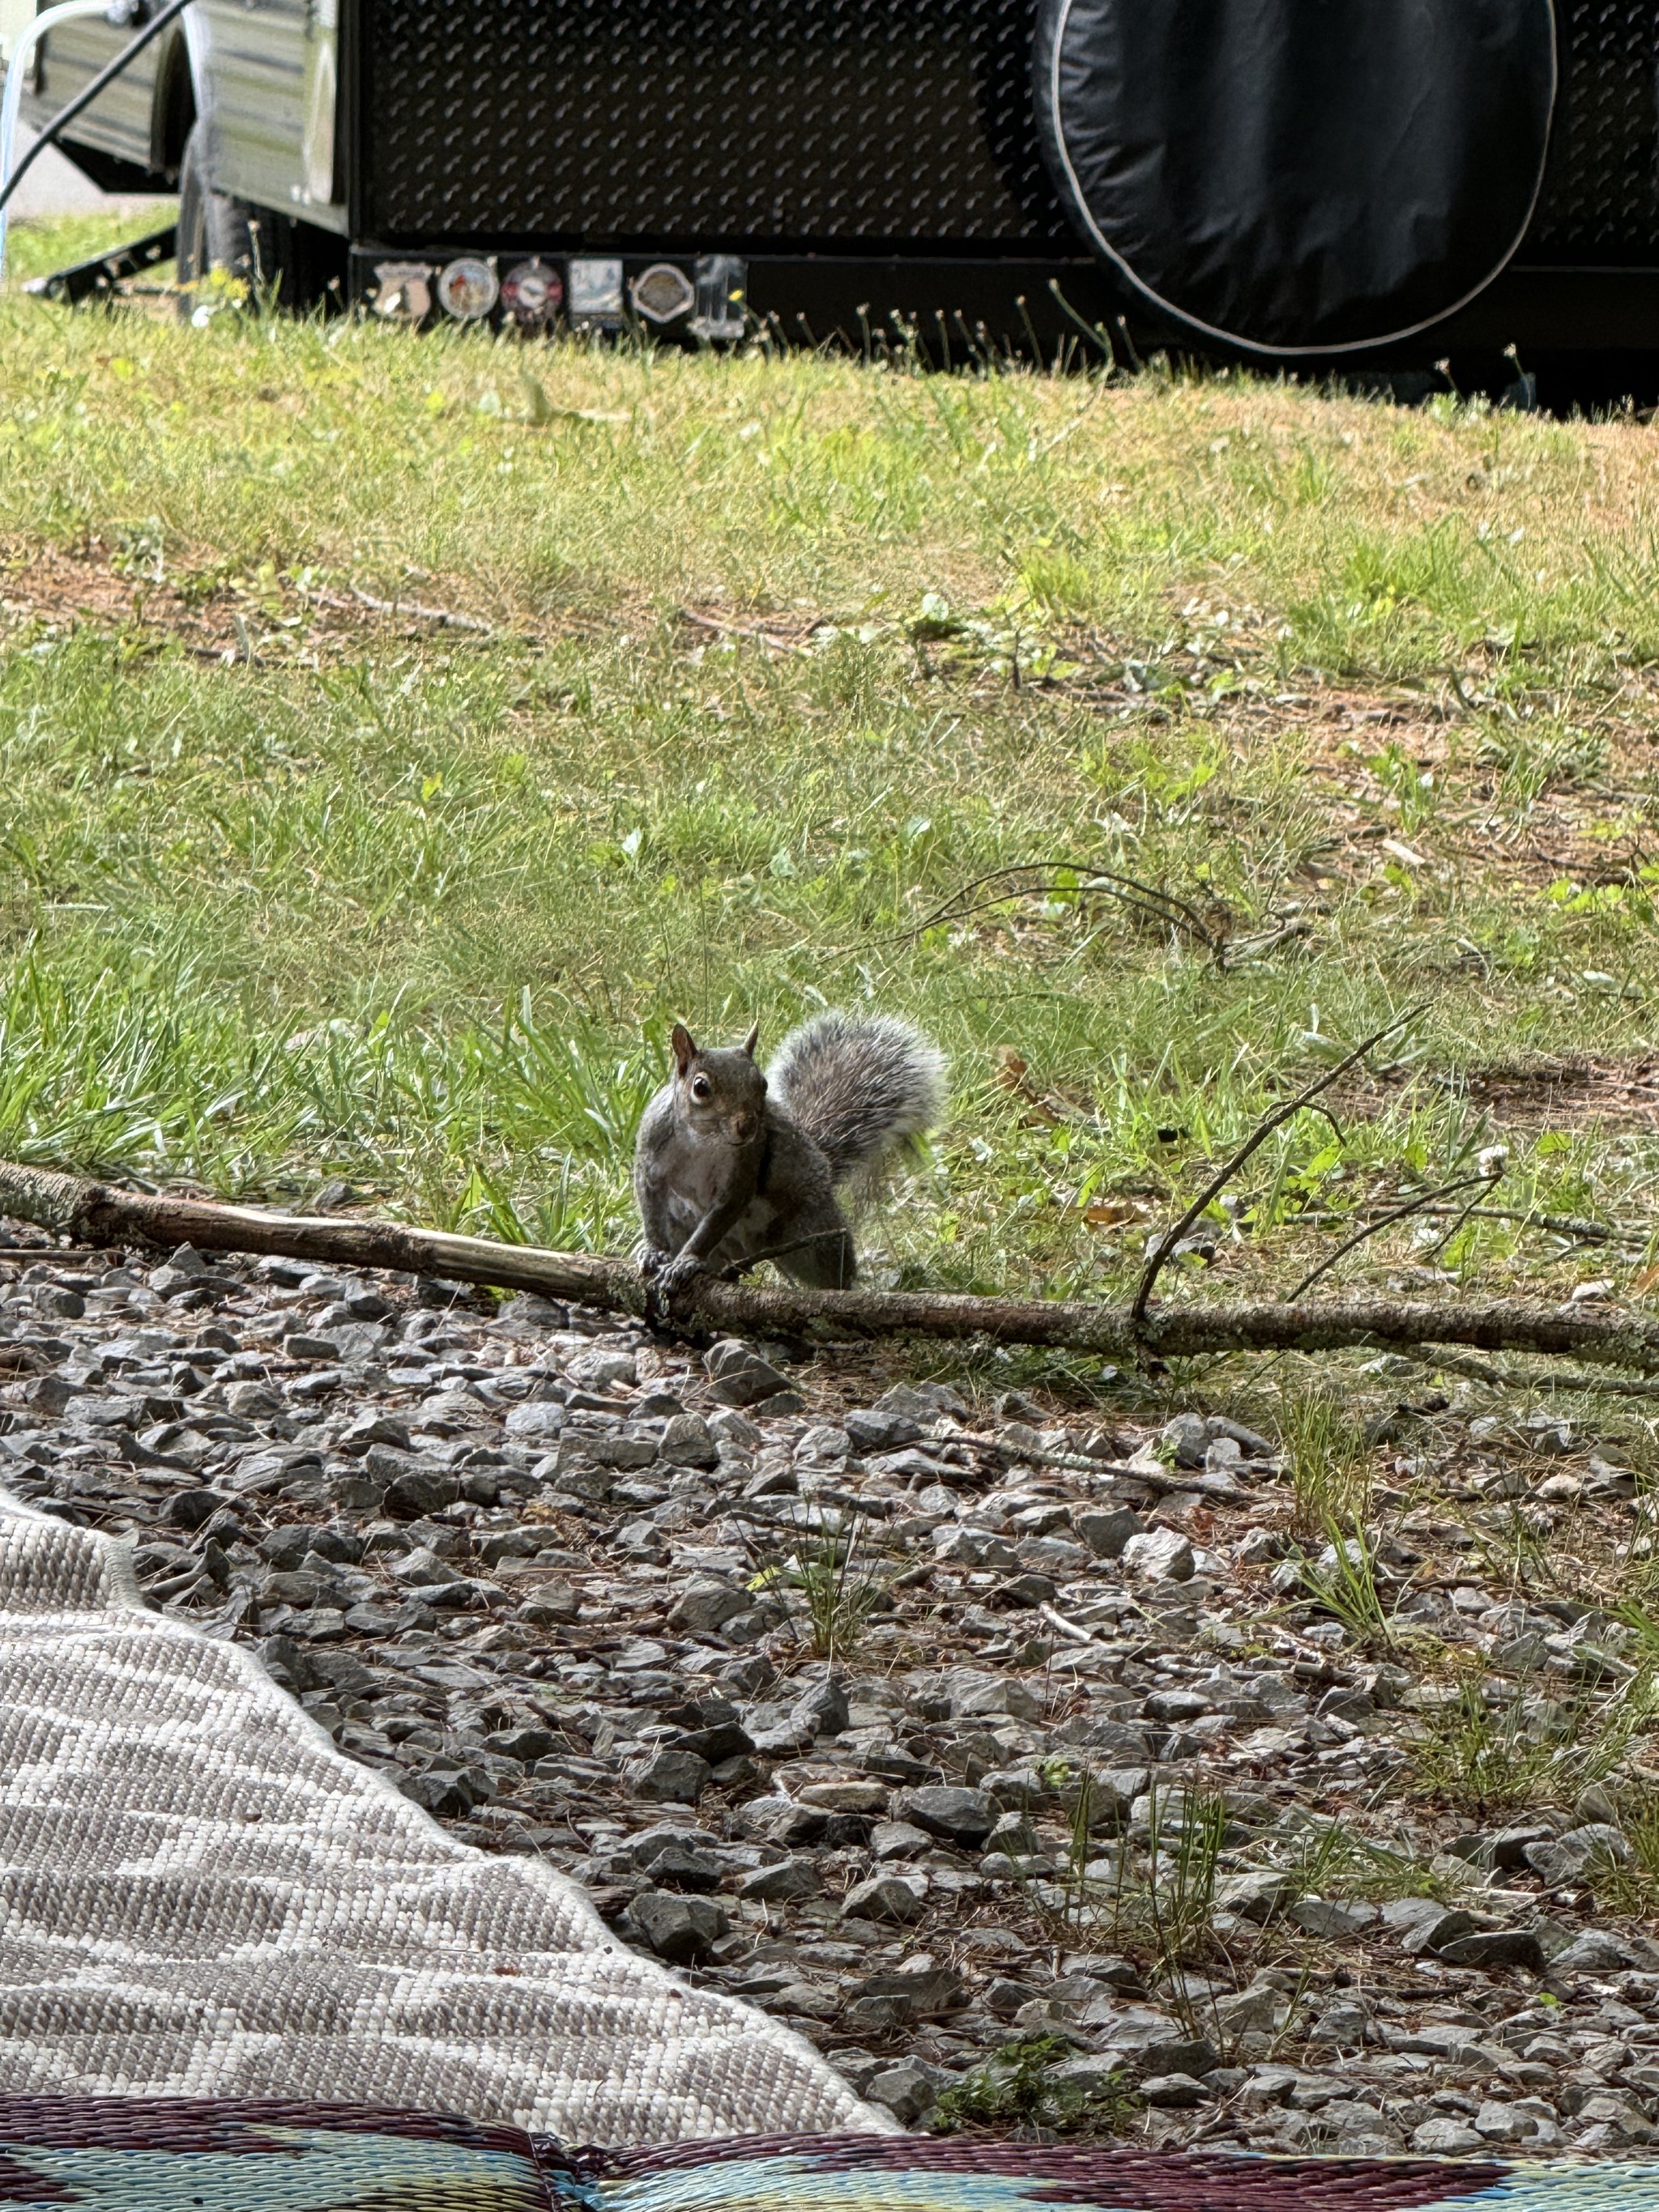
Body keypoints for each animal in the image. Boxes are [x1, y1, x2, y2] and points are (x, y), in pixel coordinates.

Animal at [633, 1011, 945, 1297]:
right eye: (701, 1087)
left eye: (762, 1084)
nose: (748, 1126)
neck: (702, 1141)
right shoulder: (650, 1159)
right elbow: (651, 1208)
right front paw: (654, 1252)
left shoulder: (744, 1168)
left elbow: (719, 1217)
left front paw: (685, 1262)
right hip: (684, 1227)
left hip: (813, 1233)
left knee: (834, 1270)